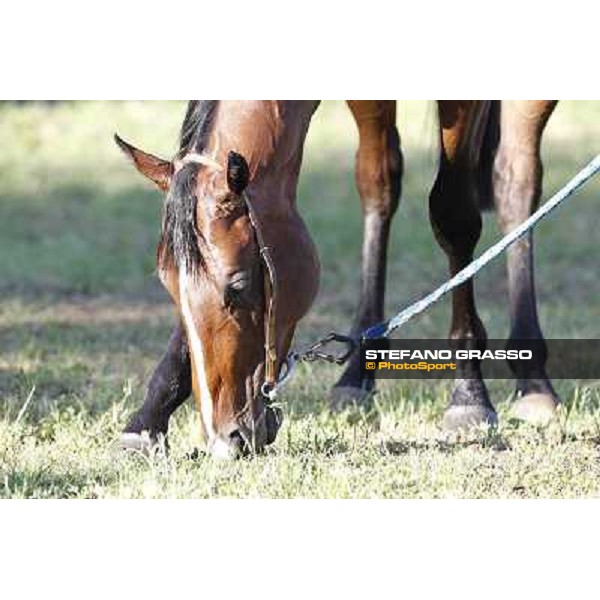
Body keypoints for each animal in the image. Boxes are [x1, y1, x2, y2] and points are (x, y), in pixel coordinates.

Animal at [116, 99, 556, 460]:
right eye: (170, 289)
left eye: (237, 287)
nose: (227, 437)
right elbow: (377, 182)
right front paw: (148, 418)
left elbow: (453, 214)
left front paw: (470, 393)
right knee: (384, 184)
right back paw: (358, 369)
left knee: (517, 180)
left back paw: (533, 378)